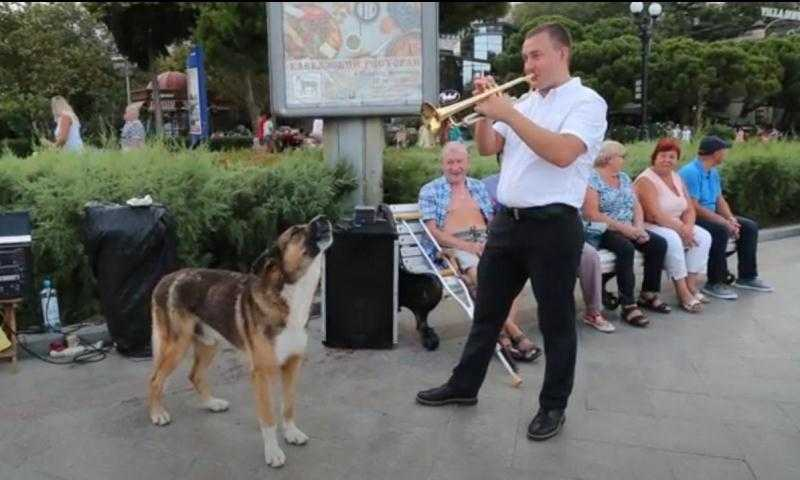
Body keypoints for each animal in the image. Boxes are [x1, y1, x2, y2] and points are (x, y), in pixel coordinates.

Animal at [148, 216, 332, 466]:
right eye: (295, 232)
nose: (323, 218)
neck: (290, 295)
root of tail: (165, 278)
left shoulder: (293, 365)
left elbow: (289, 405)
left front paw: (291, 433)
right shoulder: (262, 373)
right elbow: (268, 417)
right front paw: (272, 452)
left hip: (209, 344)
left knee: (194, 375)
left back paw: (211, 403)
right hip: (177, 345)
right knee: (155, 379)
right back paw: (157, 413)